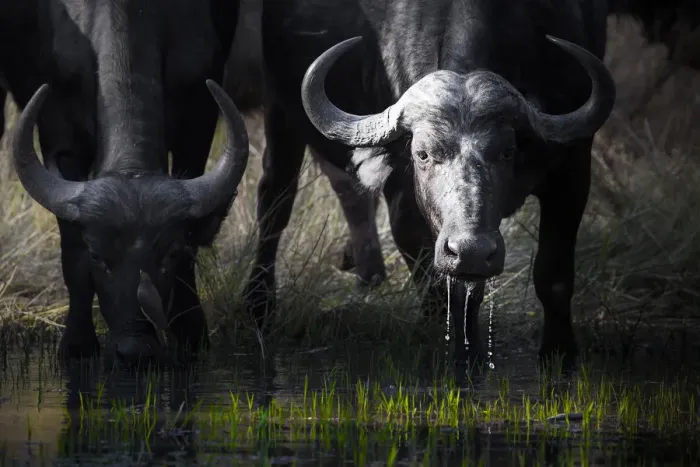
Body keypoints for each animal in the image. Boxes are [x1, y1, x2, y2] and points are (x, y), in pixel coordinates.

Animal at [5, 0, 247, 368]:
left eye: (169, 253)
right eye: (97, 256)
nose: (136, 350)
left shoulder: (198, 123)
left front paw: (191, 334)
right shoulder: (60, 136)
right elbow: (70, 249)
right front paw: (77, 345)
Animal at [244, 0, 616, 362]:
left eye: (507, 152)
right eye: (422, 154)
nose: (471, 250)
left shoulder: (572, 170)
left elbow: (553, 276)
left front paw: (558, 354)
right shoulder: (404, 200)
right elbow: (440, 287)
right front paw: (454, 351)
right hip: (278, 110)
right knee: (275, 202)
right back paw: (258, 305)